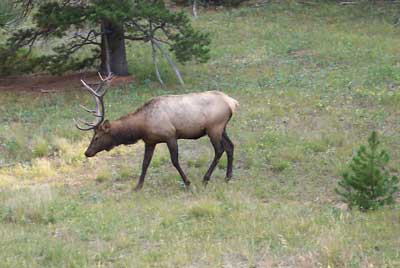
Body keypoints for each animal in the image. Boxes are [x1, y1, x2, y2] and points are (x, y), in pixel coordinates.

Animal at [74, 73, 238, 189]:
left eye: (96, 137)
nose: (87, 152)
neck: (142, 127)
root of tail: (233, 102)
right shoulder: (150, 141)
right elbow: (145, 163)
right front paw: (138, 186)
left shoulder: (170, 135)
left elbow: (175, 161)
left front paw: (188, 182)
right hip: (222, 128)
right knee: (230, 146)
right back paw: (228, 177)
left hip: (214, 127)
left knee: (219, 150)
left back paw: (206, 178)